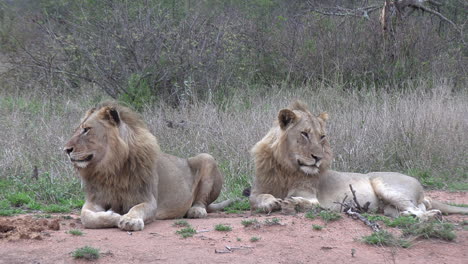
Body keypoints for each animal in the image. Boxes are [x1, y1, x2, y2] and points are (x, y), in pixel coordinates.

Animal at [64, 102, 232, 230]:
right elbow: (87, 217)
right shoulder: (94, 200)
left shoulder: (149, 200)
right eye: (76, 130)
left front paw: (129, 220)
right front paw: (115, 215)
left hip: (207, 158)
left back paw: (196, 210)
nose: (66, 149)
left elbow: (137, 208)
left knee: (202, 201)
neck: (110, 168)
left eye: (86, 130)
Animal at [250, 102, 468, 220]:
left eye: (322, 137)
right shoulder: (258, 189)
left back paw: (431, 215)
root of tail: (421, 187)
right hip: (388, 207)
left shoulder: (312, 195)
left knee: (421, 209)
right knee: (414, 210)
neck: (285, 167)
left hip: (387, 187)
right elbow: (257, 198)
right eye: (304, 134)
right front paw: (270, 202)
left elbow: (310, 202)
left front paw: (293, 202)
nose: (318, 158)